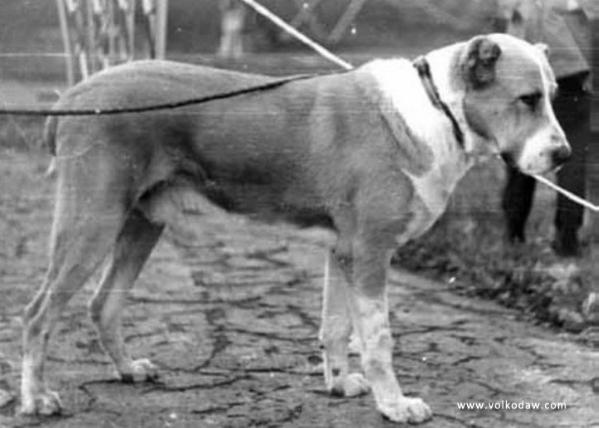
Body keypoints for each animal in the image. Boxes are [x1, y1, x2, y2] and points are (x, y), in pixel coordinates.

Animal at [19, 34, 572, 424]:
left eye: (553, 96)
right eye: (527, 99)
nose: (564, 155)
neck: (436, 109)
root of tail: (74, 94)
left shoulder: (343, 253)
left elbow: (336, 328)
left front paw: (340, 385)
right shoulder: (370, 254)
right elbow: (378, 339)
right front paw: (394, 405)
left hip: (140, 224)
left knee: (102, 304)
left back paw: (127, 369)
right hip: (92, 221)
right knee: (37, 313)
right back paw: (37, 399)